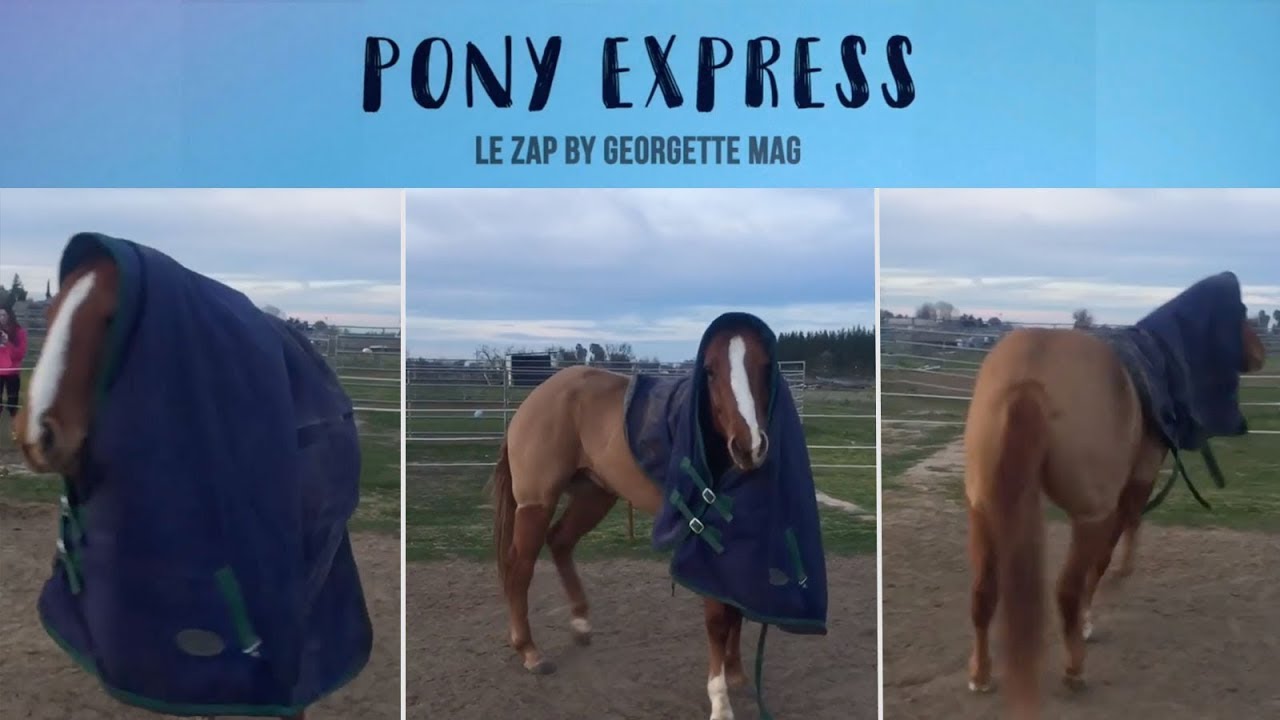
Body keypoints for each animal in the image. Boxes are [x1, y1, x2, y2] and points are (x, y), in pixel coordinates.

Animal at [492, 311, 827, 720]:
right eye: (710, 371)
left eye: (765, 366)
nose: (749, 447)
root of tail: (537, 397)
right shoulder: (705, 542)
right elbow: (718, 619)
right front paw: (720, 701)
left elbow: (736, 609)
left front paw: (737, 676)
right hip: (536, 502)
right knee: (520, 567)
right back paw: (530, 651)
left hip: (594, 495)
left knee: (560, 542)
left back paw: (581, 624)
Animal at [962, 272, 1266, 719]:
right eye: (1243, 312)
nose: (1262, 352)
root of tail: (1031, 378)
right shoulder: (1132, 488)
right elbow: (1110, 553)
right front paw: (1092, 618)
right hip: (1087, 514)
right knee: (1065, 591)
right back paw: (1074, 669)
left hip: (983, 508)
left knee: (983, 593)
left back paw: (981, 676)